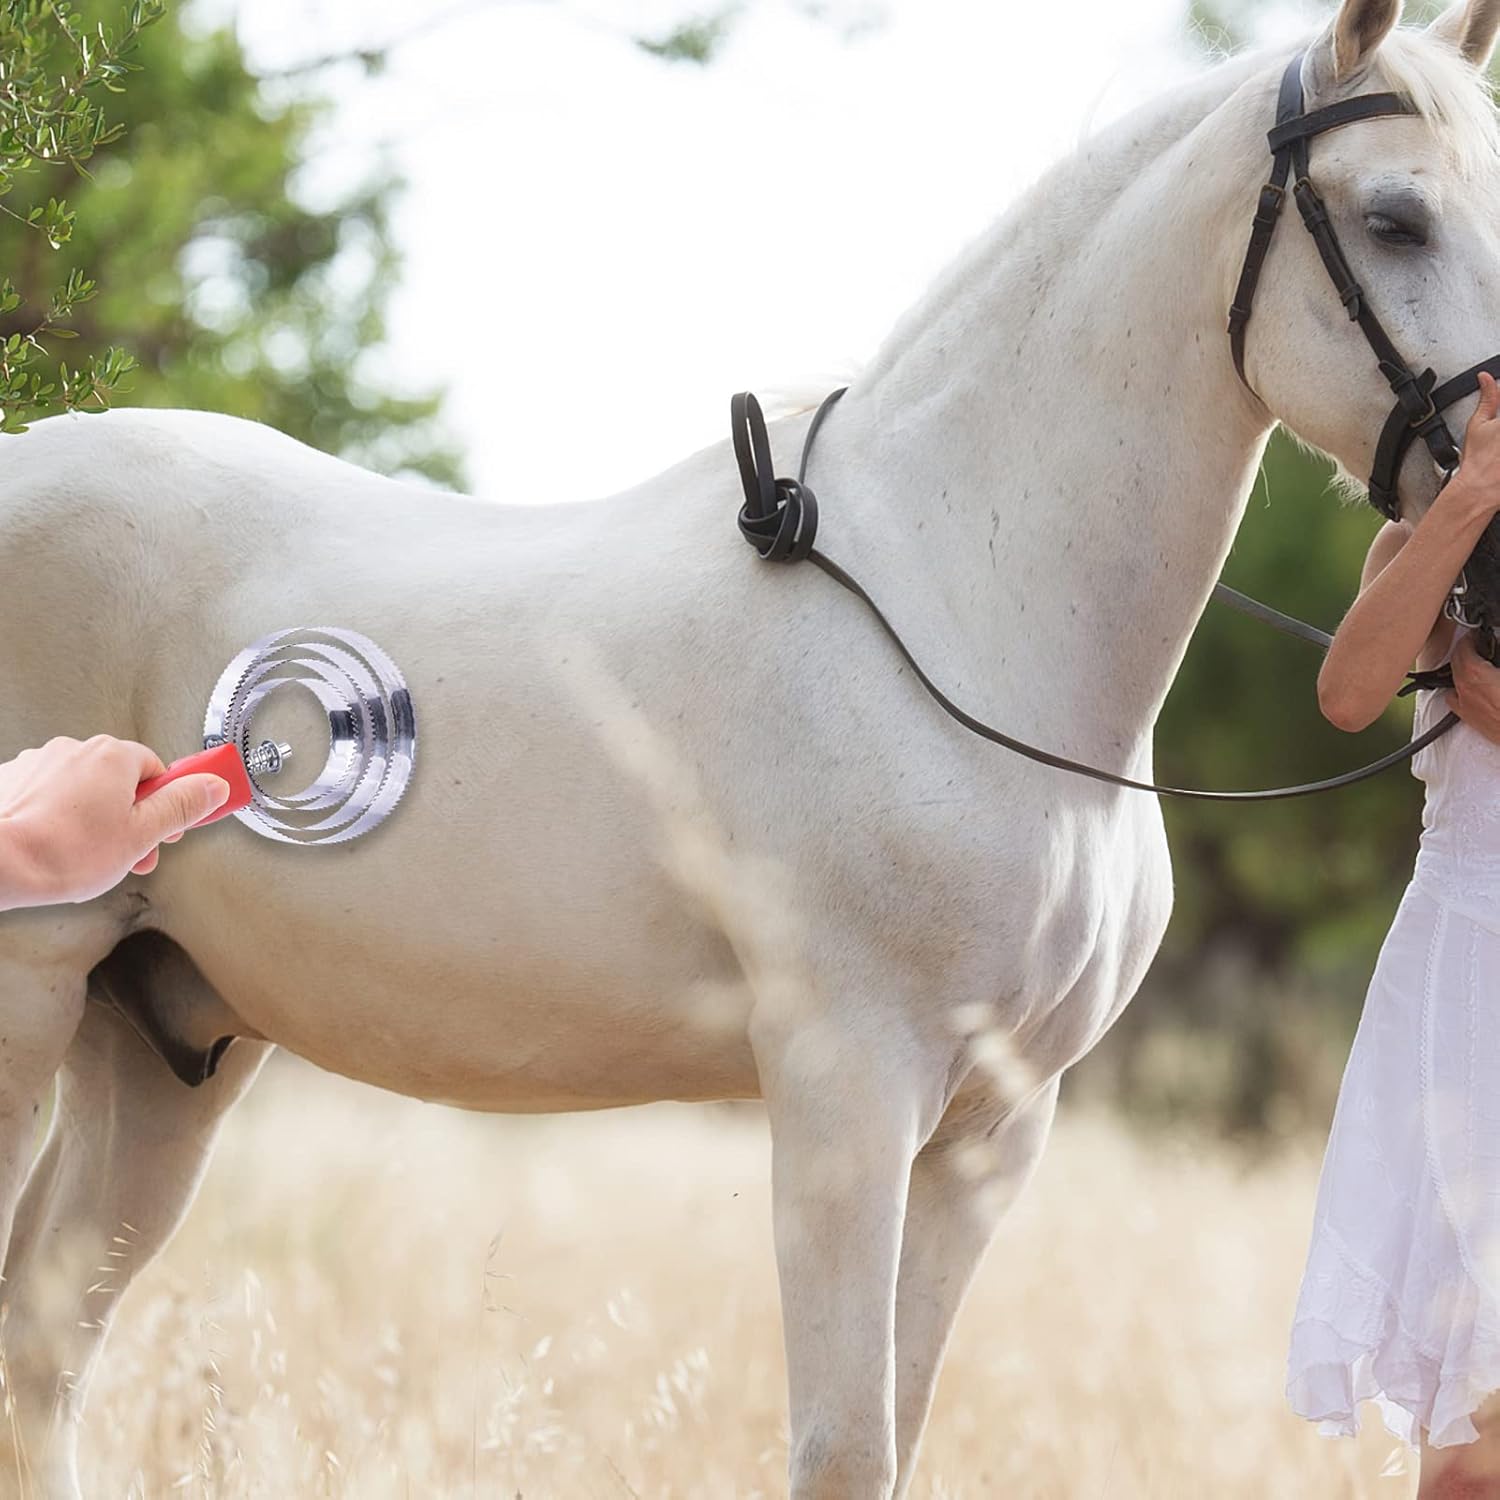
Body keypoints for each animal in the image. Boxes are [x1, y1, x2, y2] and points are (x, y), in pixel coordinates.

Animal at [4, 0, 1500, 1494]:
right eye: (1393, 219)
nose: (1483, 552)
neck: (960, 607)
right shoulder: (847, 1096)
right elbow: (843, 1447)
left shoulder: (994, 1134)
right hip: (39, 995)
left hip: (165, 1044)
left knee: (44, 1352)